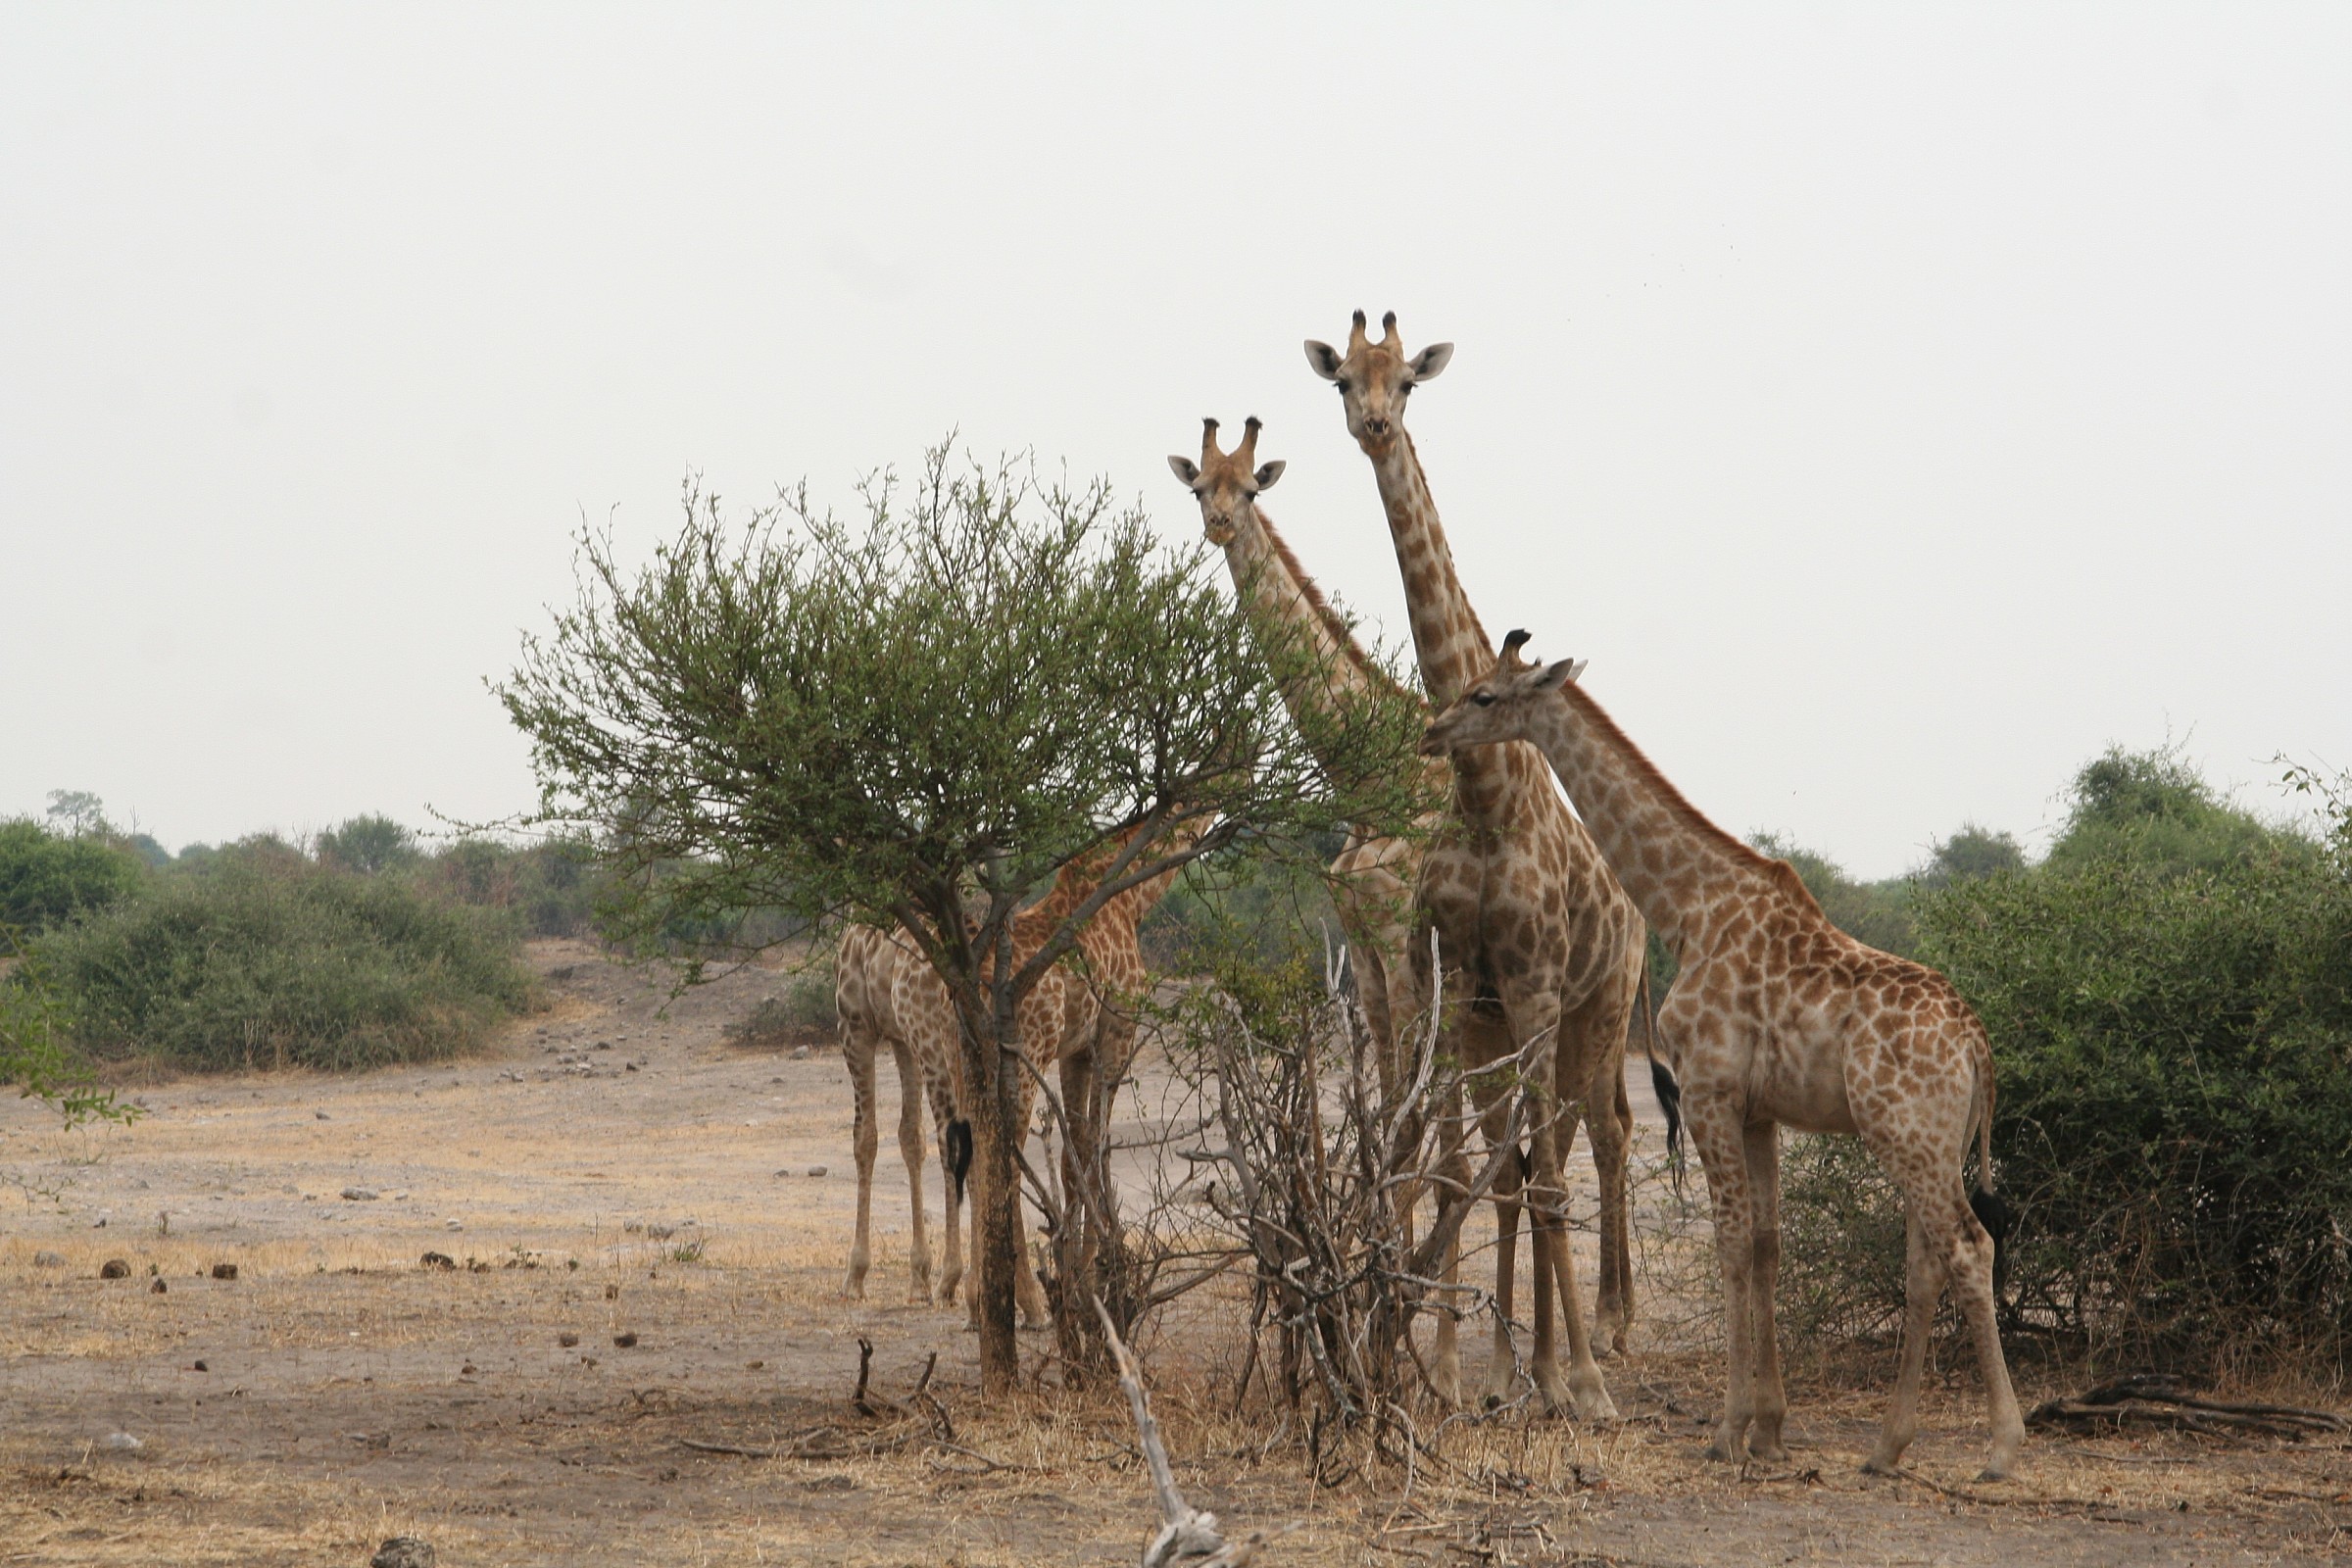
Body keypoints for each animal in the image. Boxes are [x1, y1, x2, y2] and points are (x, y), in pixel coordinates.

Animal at [1306, 312, 1645, 1418]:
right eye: (1344, 380)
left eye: (1408, 379)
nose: (1375, 426)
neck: (1488, 796)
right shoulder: (1465, 985)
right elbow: (1472, 1173)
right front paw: (1467, 1375)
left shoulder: (1536, 985)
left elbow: (1540, 1176)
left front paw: (1582, 1385)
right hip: (1504, 1019)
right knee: (1520, 1163)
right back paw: (1520, 1366)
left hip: (1599, 1006)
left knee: (1584, 1146)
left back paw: (1578, 1358)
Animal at [1420, 632, 2025, 1480]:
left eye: (1483, 695)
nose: (1432, 732)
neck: (1689, 905)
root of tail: (1977, 1046)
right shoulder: (1759, 1111)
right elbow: (1767, 1247)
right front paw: (1770, 1428)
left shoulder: (1708, 1091)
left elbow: (1732, 1245)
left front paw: (1728, 1429)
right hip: (1927, 1144)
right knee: (1927, 1261)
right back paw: (1886, 1447)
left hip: (1908, 1135)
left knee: (1970, 1247)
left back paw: (2002, 1446)